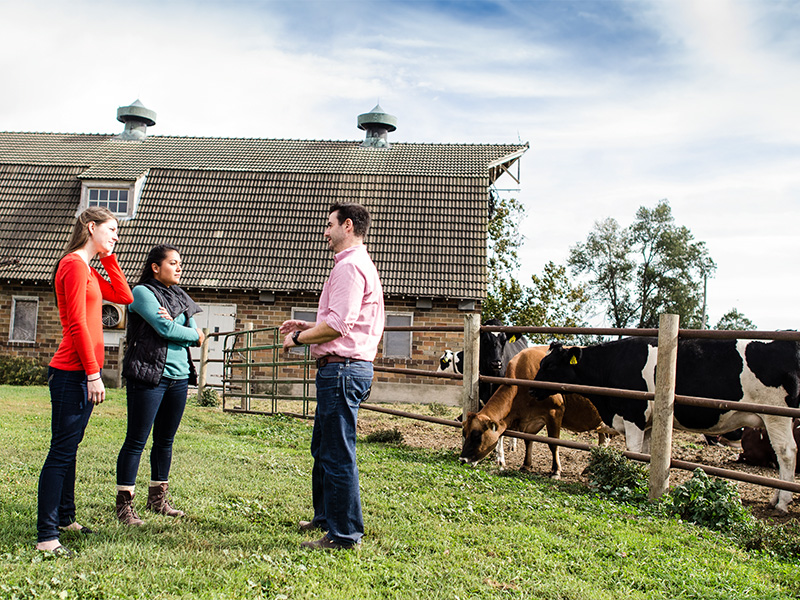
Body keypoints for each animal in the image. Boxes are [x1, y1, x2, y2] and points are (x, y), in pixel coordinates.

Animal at [460, 346, 616, 478]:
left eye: (477, 435)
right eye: (464, 433)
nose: (462, 459)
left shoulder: (555, 412)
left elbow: (553, 443)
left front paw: (556, 471)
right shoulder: (529, 419)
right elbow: (528, 440)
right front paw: (525, 465)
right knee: (603, 441)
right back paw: (590, 468)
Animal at [532, 338, 800, 510]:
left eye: (550, 365)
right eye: (542, 363)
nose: (532, 390)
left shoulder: (634, 416)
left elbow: (633, 452)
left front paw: (628, 481)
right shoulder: (648, 423)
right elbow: (646, 454)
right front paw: (642, 480)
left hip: (777, 416)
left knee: (786, 453)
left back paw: (782, 502)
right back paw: (776, 497)